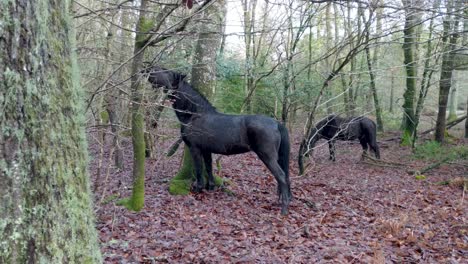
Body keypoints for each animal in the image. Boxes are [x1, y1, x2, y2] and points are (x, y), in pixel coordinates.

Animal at [144, 65, 290, 214]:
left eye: (167, 72)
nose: (148, 68)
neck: (195, 114)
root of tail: (276, 123)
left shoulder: (195, 149)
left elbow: (199, 169)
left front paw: (198, 188)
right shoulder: (206, 150)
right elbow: (209, 168)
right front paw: (211, 187)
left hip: (267, 156)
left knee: (281, 176)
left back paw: (284, 208)